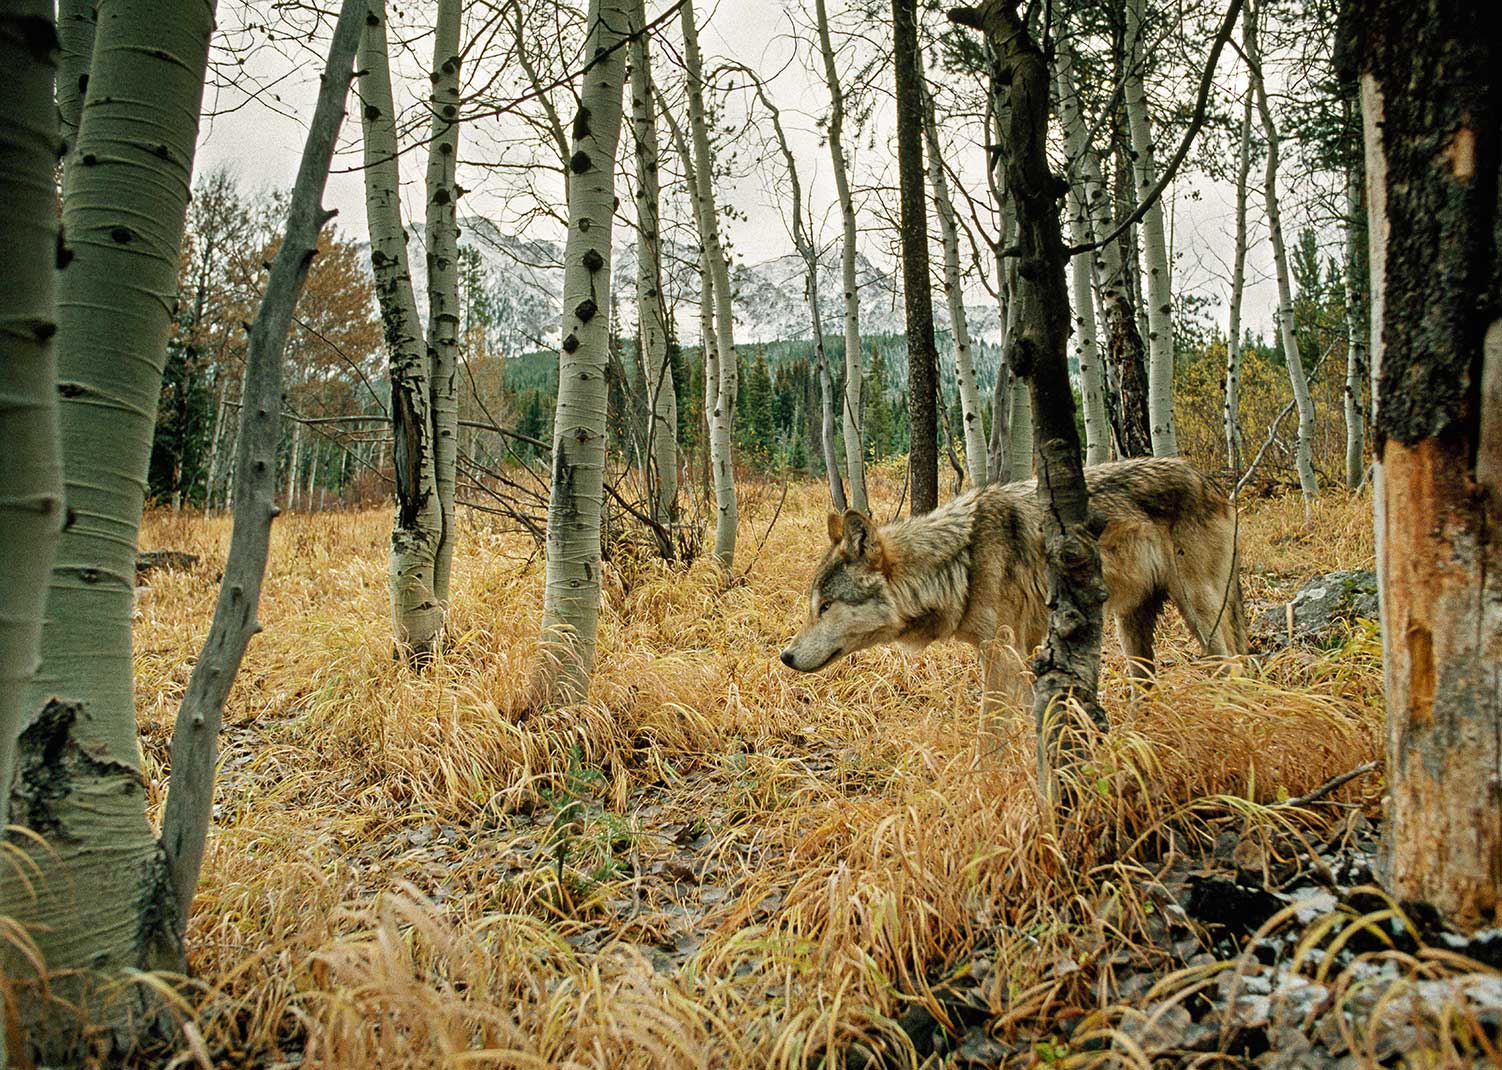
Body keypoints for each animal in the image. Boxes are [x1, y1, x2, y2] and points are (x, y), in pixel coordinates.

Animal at [781, 456, 1249, 715]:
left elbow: (991, 732)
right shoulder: (1019, 652)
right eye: (813, 605)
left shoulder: (1002, 653)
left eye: (826, 606)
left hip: (1201, 612)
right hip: (1129, 625)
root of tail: (1211, 482)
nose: (785, 656)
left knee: (1232, 667)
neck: (961, 563)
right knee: (1145, 686)